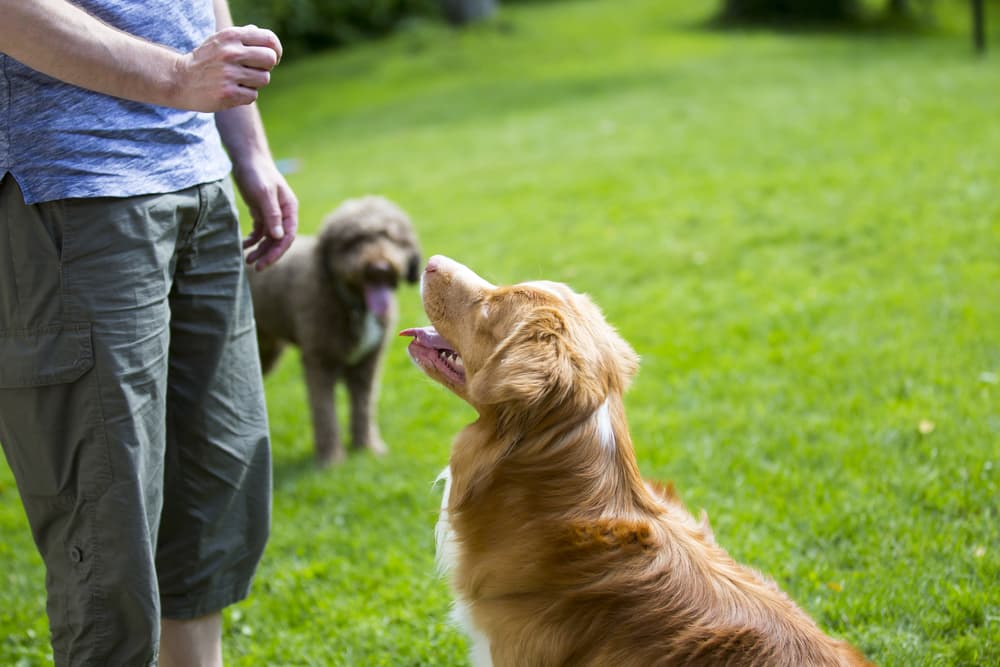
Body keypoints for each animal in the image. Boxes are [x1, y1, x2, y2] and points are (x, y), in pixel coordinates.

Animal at [254, 196, 422, 462]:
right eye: (354, 240)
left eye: (392, 237)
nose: (380, 268)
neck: (354, 305)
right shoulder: (319, 362)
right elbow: (325, 413)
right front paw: (332, 458)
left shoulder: (367, 363)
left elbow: (363, 407)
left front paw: (368, 447)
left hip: (266, 349)